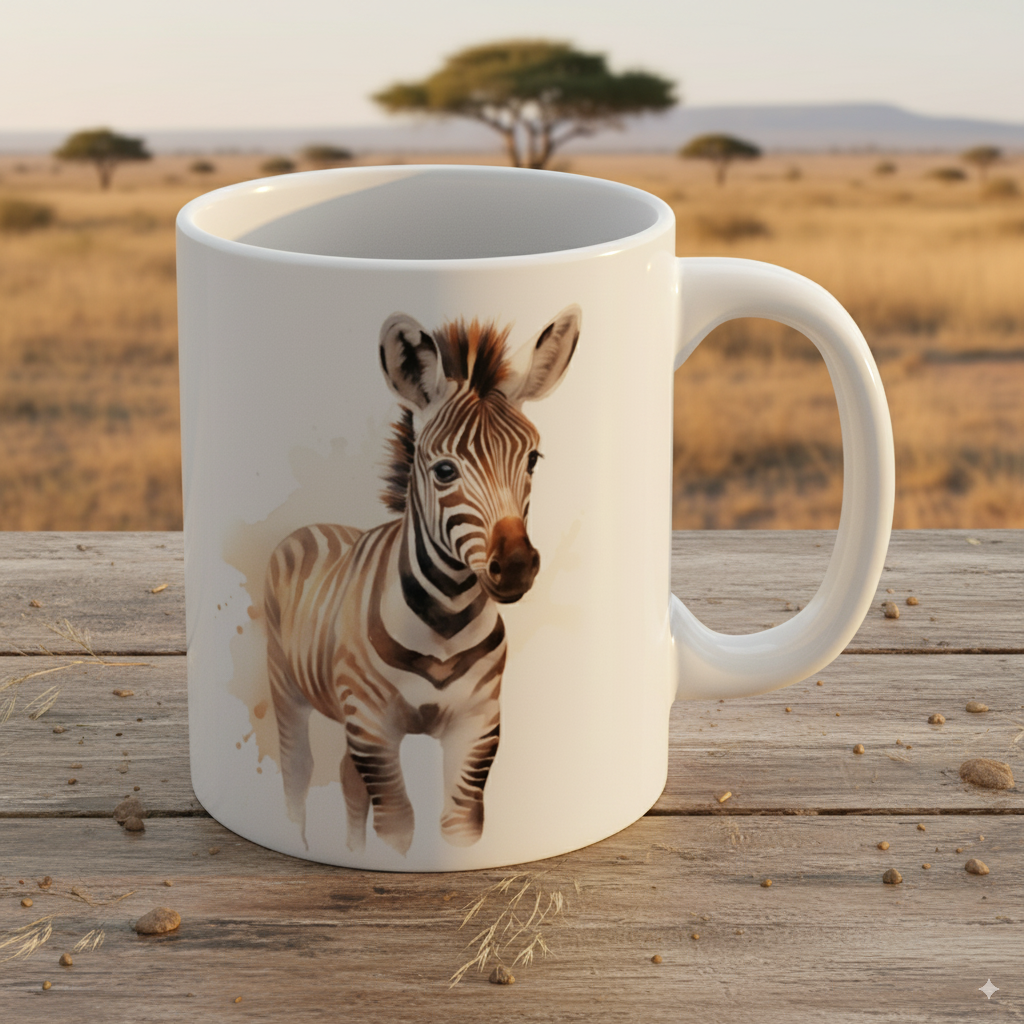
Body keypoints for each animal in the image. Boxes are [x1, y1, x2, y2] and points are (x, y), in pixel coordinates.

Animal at [264, 305, 581, 855]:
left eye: (532, 460)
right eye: (445, 470)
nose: (517, 565)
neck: (445, 618)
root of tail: (313, 527)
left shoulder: (478, 726)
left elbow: (460, 823)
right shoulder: (373, 729)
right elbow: (397, 825)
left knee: (346, 782)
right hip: (288, 684)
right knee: (296, 771)